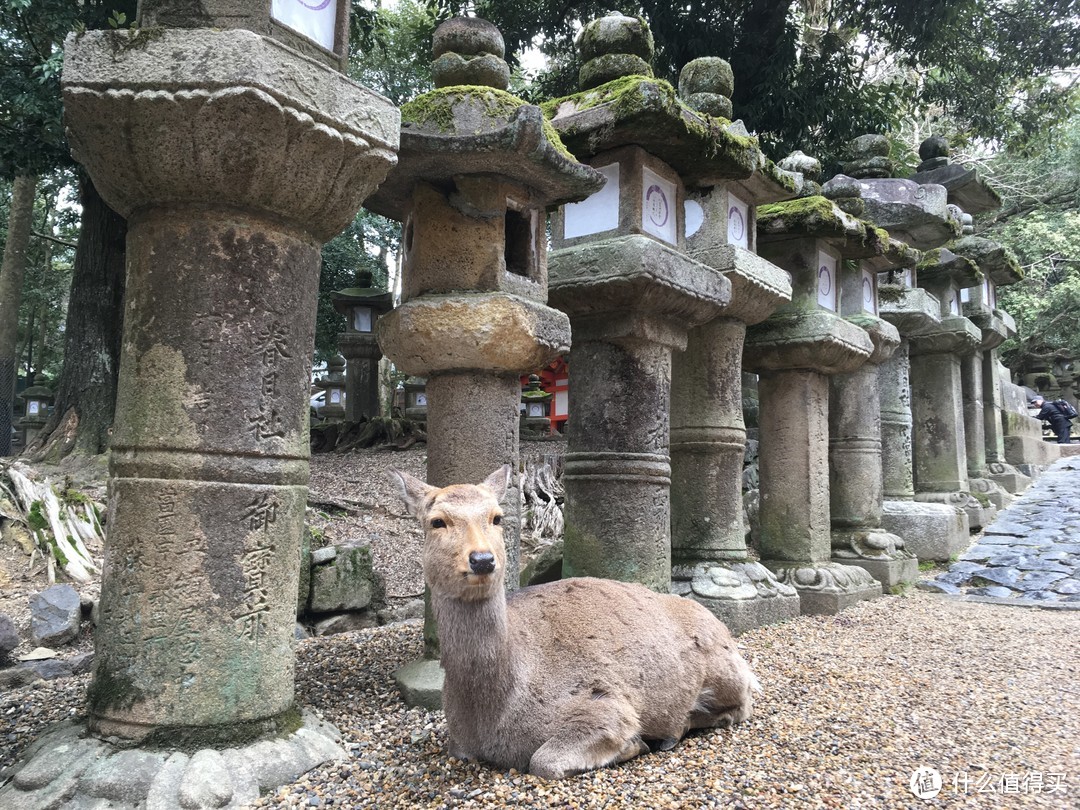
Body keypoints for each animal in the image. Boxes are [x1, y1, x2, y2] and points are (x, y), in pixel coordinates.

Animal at [390, 466, 760, 781]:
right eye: (437, 521)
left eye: (497, 517)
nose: (482, 559)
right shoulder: (459, 744)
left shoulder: (606, 705)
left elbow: (544, 761)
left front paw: (634, 744)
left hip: (726, 672)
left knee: (742, 704)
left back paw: (673, 731)